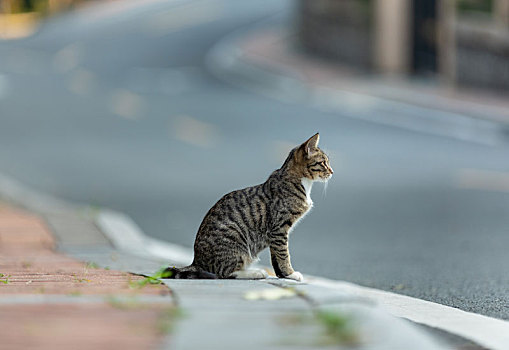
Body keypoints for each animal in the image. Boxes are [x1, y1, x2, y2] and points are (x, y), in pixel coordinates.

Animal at [165, 133, 334, 280]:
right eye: (323, 163)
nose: (332, 171)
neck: (301, 182)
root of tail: (196, 262)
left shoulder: (275, 233)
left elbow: (276, 256)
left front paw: (282, 275)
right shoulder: (279, 229)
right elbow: (283, 254)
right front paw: (290, 273)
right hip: (236, 240)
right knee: (224, 273)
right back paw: (255, 272)